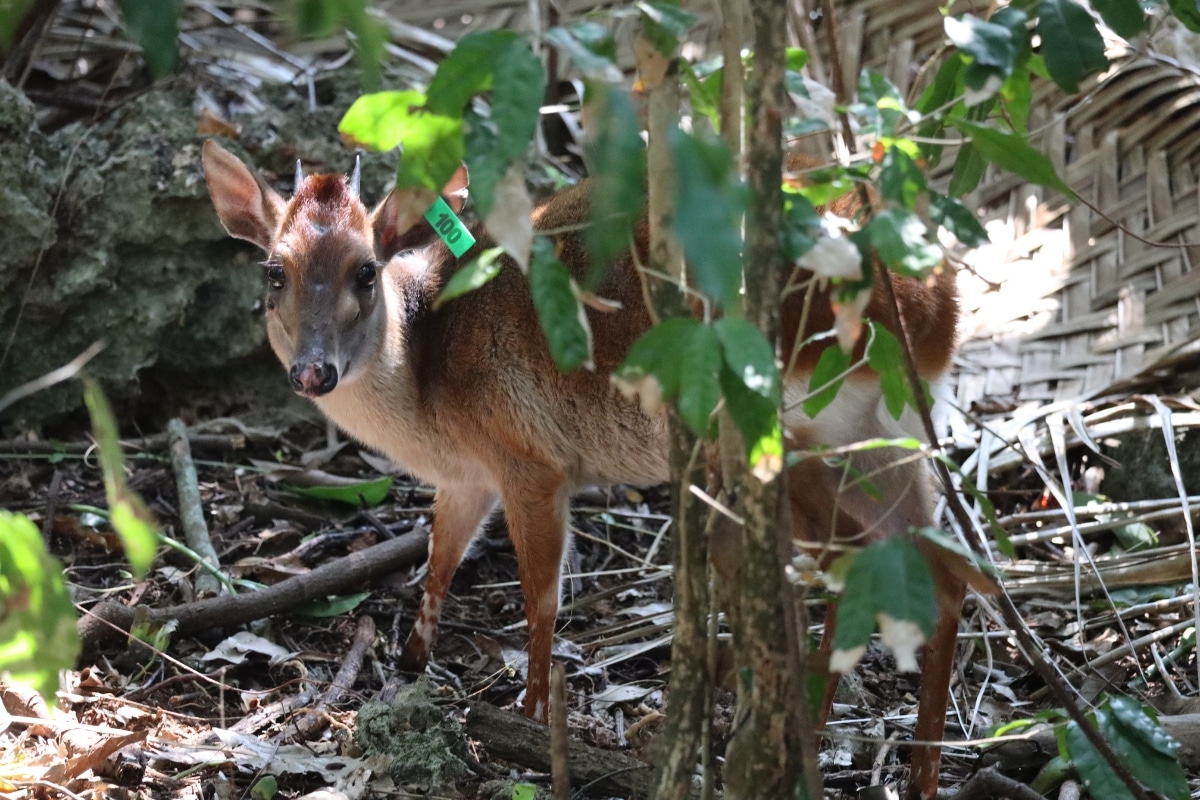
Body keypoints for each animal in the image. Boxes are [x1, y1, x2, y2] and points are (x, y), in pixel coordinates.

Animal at [202, 138, 965, 800]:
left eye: (365, 269)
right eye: (275, 272)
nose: (313, 370)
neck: (424, 374)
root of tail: (936, 312)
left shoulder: (529, 459)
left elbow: (541, 596)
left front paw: (530, 716)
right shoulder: (469, 476)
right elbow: (440, 563)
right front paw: (411, 663)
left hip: (780, 438)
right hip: (881, 439)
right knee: (935, 570)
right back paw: (895, 765)